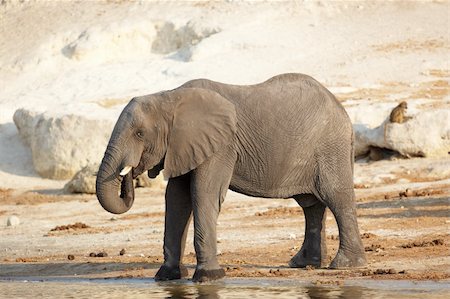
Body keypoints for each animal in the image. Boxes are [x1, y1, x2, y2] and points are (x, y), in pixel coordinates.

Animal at [95, 73, 366, 284]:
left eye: (140, 134)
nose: (130, 174)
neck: (170, 97)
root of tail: (341, 109)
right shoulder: (184, 146)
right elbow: (176, 200)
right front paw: (166, 277)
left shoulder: (220, 146)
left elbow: (203, 194)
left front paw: (208, 278)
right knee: (311, 204)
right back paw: (303, 263)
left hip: (330, 147)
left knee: (336, 197)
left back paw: (345, 265)